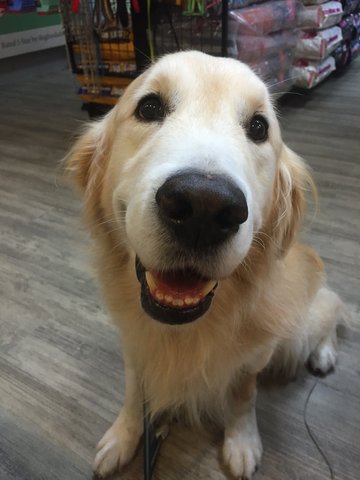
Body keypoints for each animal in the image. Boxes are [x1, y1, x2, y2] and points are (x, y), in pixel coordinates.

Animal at [67, 50, 344, 478]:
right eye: (149, 107)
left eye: (259, 127)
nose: (204, 207)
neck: (183, 332)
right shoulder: (135, 345)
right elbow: (133, 390)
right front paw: (123, 435)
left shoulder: (253, 358)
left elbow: (244, 396)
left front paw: (242, 442)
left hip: (299, 327)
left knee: (331, 307)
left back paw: (325, 352)